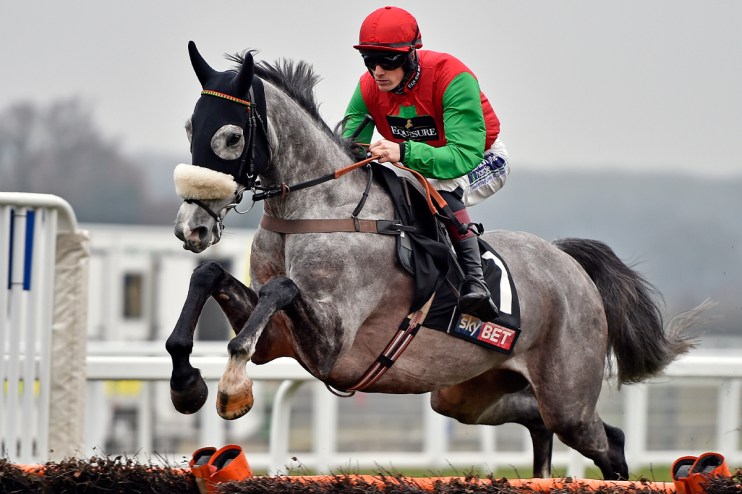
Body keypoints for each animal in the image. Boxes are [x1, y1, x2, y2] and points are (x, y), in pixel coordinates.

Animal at [166, 41, 701, 479]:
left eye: (231, 137)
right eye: (191, 126)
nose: (191, 227)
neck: (315, 211)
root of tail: (570, 265)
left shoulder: (330, 345)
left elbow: (280, 291)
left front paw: (232, 387)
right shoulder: (279, 338)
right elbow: (210, 276)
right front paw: (187, 384)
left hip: (567, 393)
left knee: (609, 443)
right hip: (468, 394)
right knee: (543, 422)